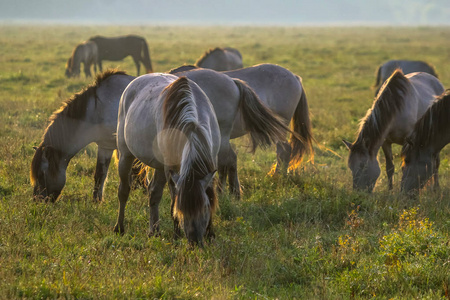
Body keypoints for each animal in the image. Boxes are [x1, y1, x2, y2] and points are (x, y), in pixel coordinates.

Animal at [31, 69, 134, 202]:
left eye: (41, 174)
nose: (36, 200)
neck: (98, 108)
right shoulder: (105, 146)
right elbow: (100, 175)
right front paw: (96, 202)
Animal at [114, 73, 220, 246]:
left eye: (204, 207)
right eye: (181, 209)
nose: (195, 241)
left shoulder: (211, 162)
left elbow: (210, 194)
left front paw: (211, 234)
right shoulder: (171, 169)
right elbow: (172, 201)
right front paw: (176, 235)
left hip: (158, 165)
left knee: (153, 194)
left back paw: (154, 231)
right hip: (126, 156)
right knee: (123, 191)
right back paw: (119, 228)